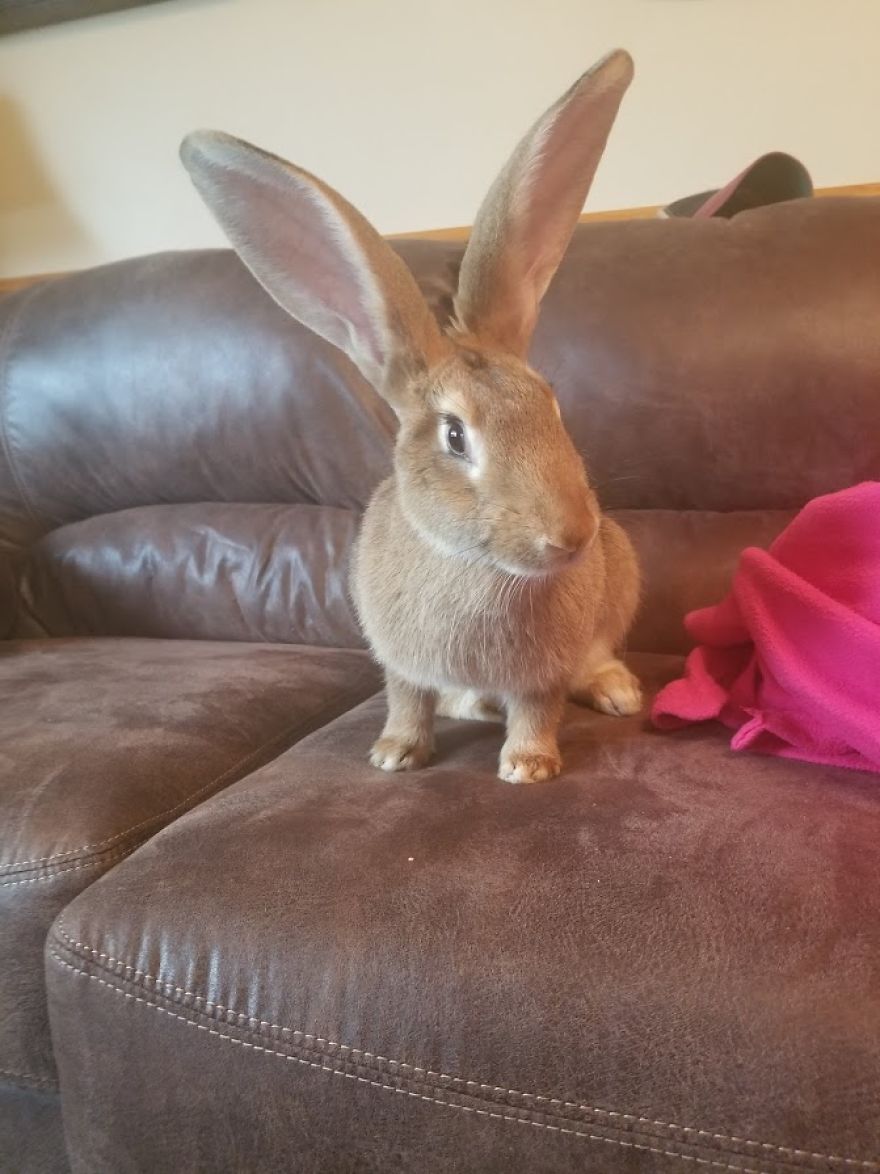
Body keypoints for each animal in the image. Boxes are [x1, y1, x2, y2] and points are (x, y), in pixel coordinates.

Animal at [180, 48, 641, 784]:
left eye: (551, 403)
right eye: (454, 435)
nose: (571, 538)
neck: (478, 568)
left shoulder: (540, 673)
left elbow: (537, 710)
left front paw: (527, 768)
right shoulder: (400, 661)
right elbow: (405, 700)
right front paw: (393, 755)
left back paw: (615, 692)